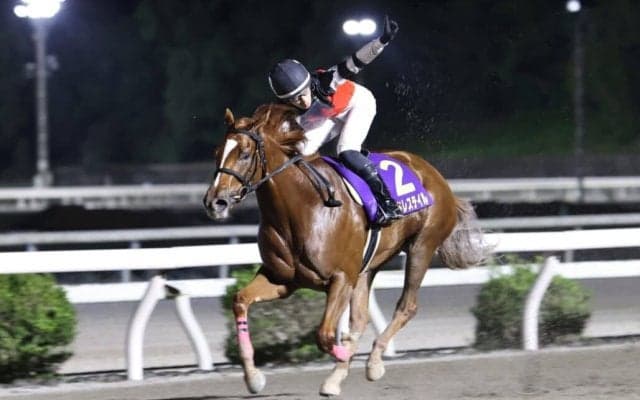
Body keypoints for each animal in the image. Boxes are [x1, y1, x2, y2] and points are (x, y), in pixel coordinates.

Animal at [203, 103, 491, 396]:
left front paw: (345, 361)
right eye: (217, 152)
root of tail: (432, 174)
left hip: (422, 247)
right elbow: (240, 301)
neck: (301, 208)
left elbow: (325, 335)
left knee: (406, 306)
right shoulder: (283, 279)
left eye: (244, 154)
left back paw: (372, 363)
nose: (215, 202)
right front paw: (254, 377)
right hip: (367, 268)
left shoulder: (340, 278)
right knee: (361, 318)